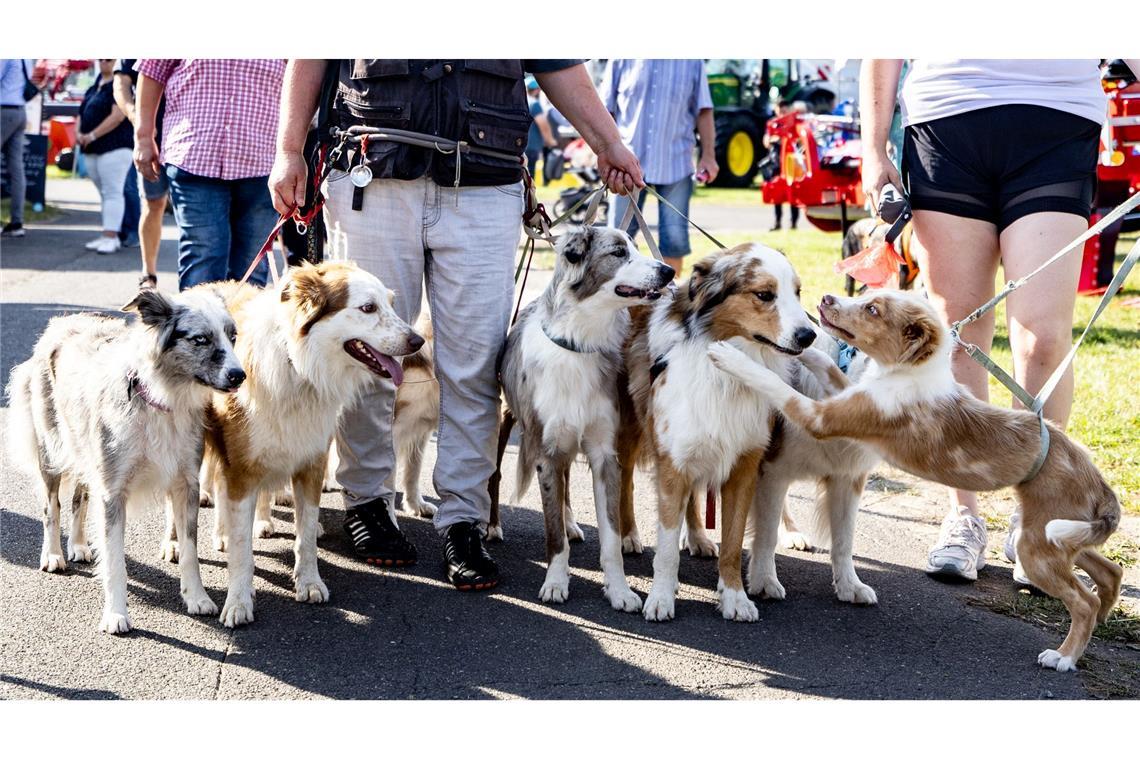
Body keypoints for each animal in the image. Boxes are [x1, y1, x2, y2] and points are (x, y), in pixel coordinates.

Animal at [624, 247, 820, 619]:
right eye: (764, 295)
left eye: (798, 292)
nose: (808, 335)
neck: (727, 373)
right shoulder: (673, 461)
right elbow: (666, 547)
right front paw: (661, 597)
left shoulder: (744, 466)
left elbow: (732, 541)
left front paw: (734, 597)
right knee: (624, 485)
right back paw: (628, 536)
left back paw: (701, 537)